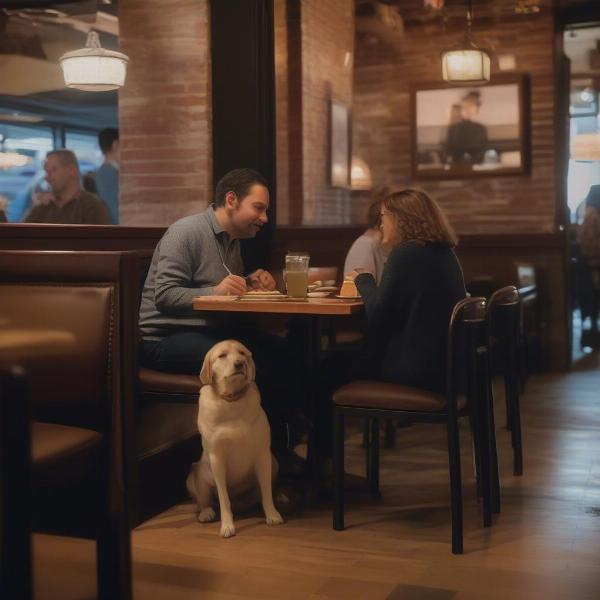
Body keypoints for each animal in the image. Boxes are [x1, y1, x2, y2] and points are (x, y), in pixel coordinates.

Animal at [185, 338, 284, 540]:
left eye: (242, 353)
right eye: (222, 355)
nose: (240, 363)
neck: (232, 400)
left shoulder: (262, 454)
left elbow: (266, 492)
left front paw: (272, 514)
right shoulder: (217, 458)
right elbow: (224, 498)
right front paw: (227, 525)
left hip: (274, 462)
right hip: (194, 475)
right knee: (203, 501)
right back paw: (206, 512)